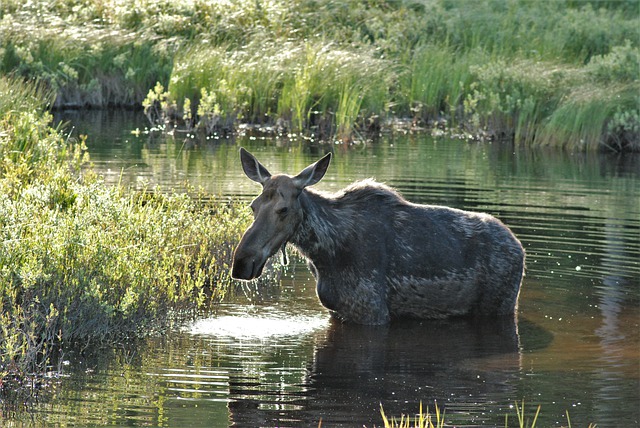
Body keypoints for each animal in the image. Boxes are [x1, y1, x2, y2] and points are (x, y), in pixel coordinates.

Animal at [232, 148, 524, 324]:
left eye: (283, 209)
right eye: (253, 206)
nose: (242, 261)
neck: (324, 253)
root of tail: (519, 247)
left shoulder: (371, 311)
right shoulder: (337, 312)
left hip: (500, 306)